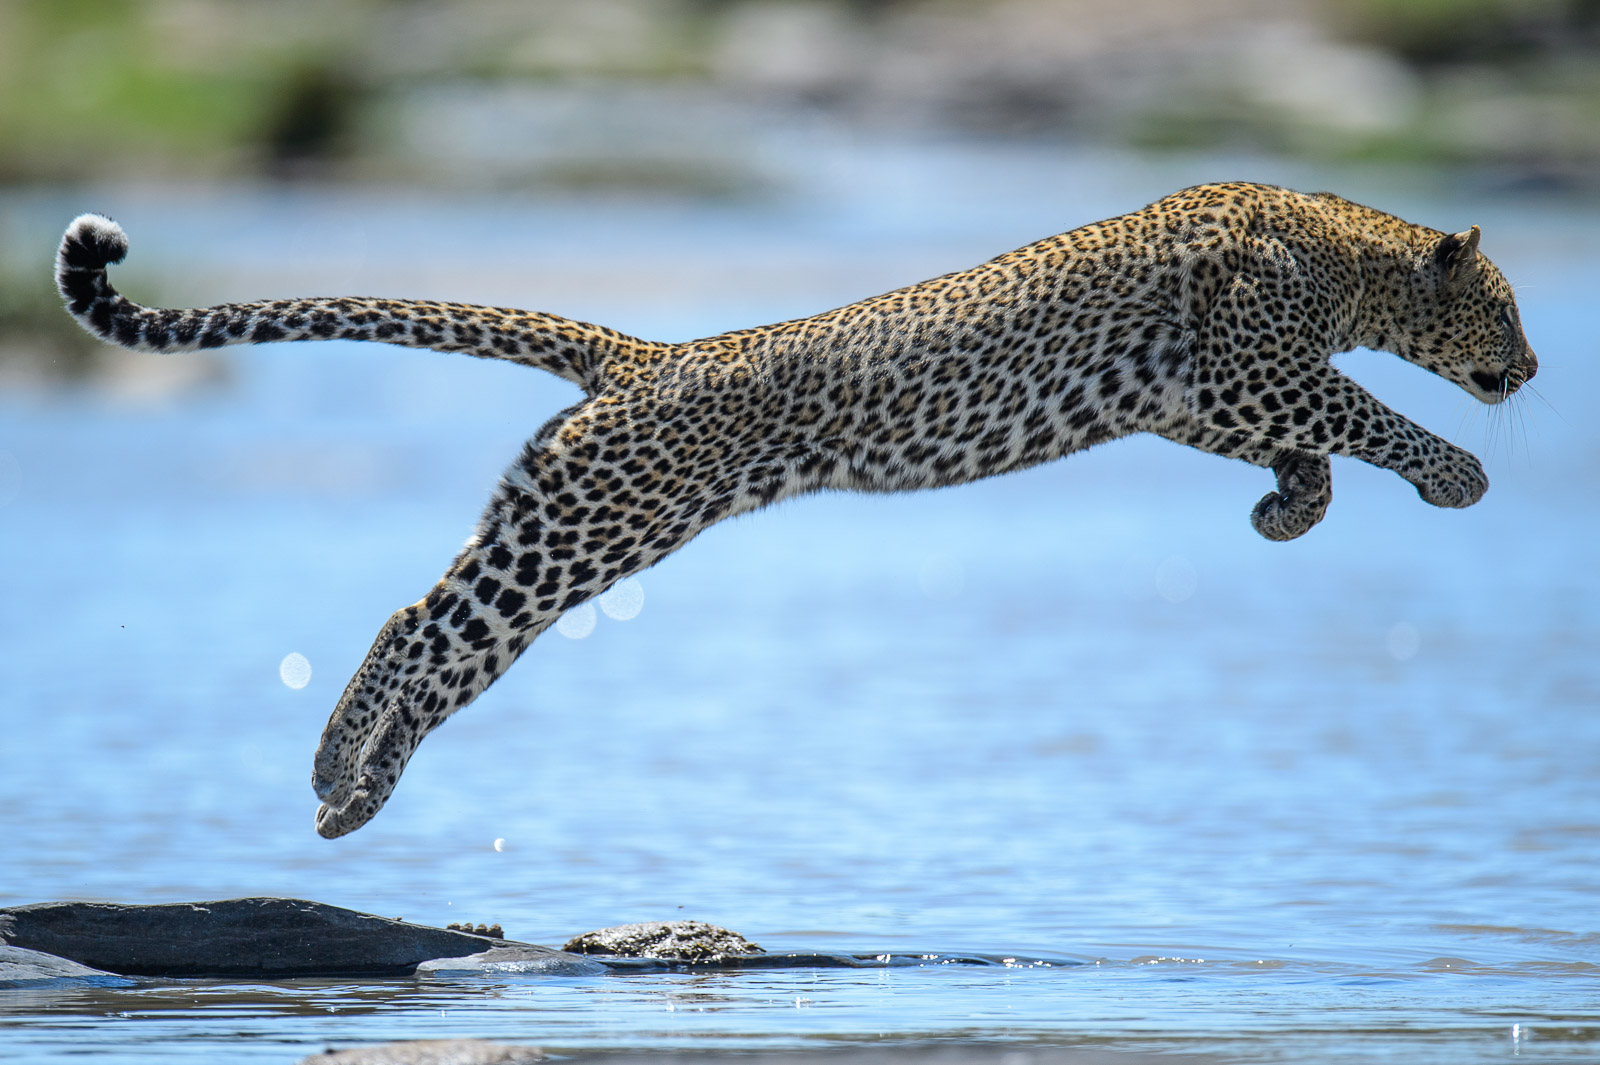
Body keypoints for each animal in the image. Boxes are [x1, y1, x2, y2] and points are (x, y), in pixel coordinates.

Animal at [59, 178, 1536, 831]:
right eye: (1510, 310)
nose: (1528, 370)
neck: (1348, 258)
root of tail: (646, 352)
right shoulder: (1253, 368)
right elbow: (1376, 416)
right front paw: (1457, 476)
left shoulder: (1196, 398)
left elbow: (1315, 445)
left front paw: (1289, 513)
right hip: (590, 528)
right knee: (424, 626)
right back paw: (333, 779)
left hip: (555, 524)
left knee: (430, 630)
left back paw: (352, 795)